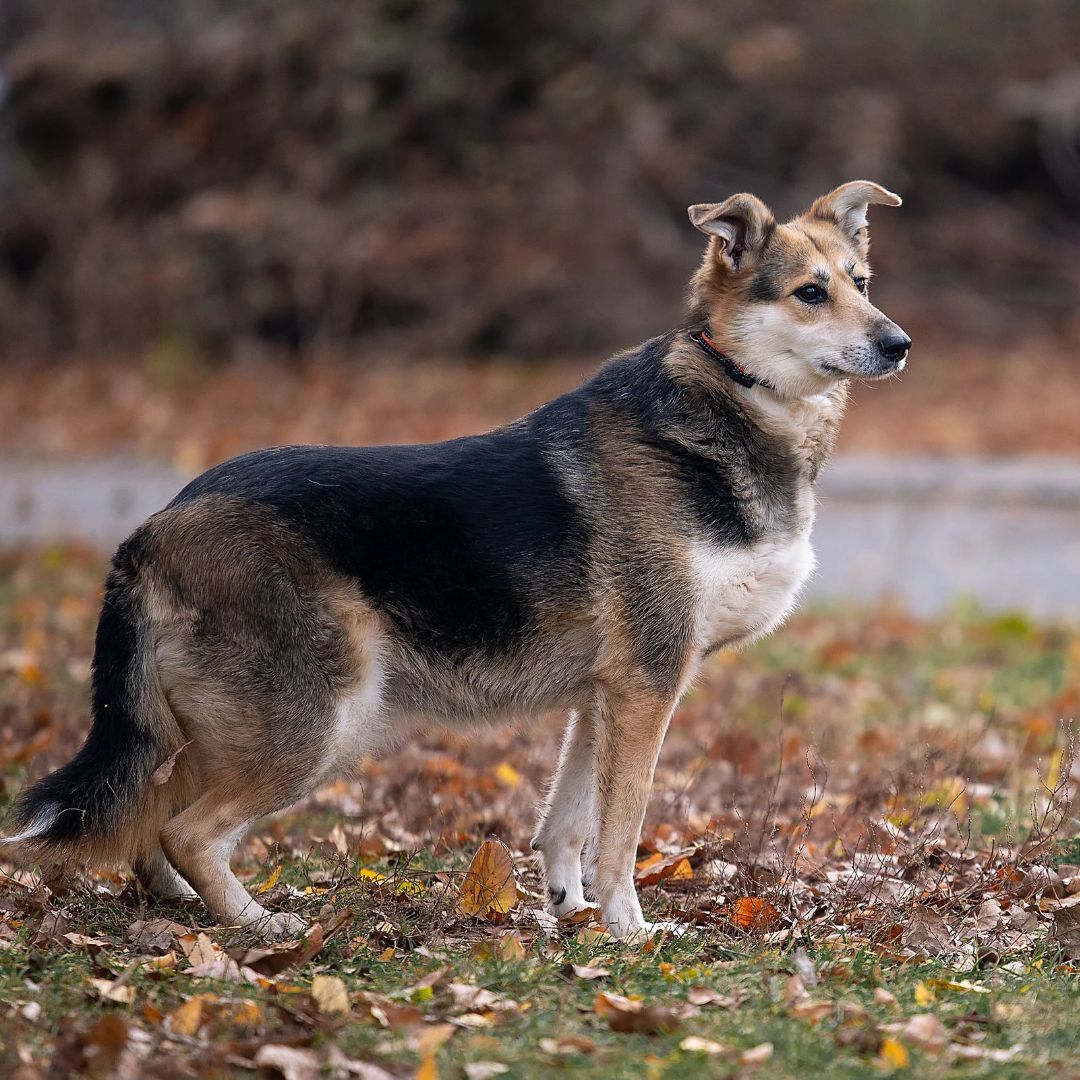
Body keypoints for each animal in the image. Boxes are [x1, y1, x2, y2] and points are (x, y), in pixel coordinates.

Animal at [4, 181, 907, 941]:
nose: (900, 344)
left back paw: (187, 908)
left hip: (225, 728)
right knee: (188, 831)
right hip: (326, 719)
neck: (734, 394)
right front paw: (630, 930)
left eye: (862, 281)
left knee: (151, 825)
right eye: (810, 293)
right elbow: (621, 831)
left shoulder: (605, 694)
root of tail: (152, 529)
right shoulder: (649, 685)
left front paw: (571, 915)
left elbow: (567, 822)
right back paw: (262, 926)